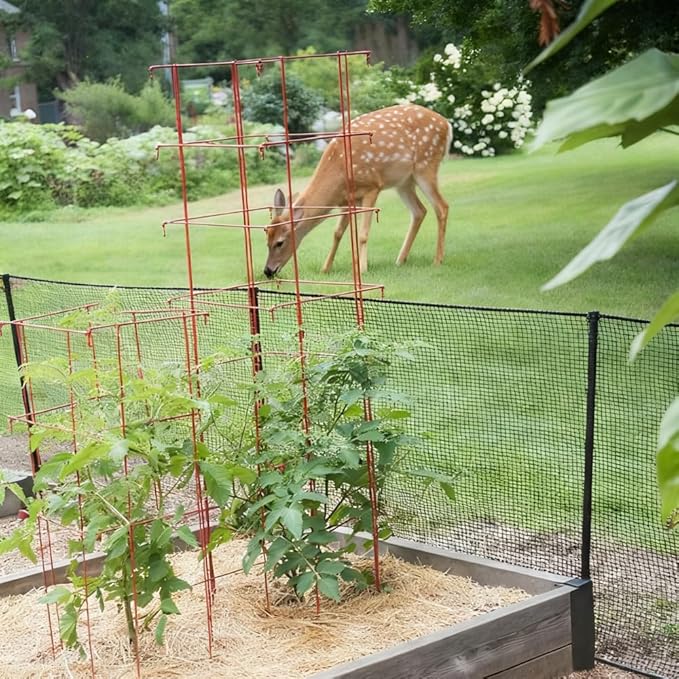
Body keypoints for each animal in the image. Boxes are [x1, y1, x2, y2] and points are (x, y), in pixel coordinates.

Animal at [263, 103, 452, 278]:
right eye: (267, 238)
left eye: (280, 242)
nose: (268, 271)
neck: (339, 171)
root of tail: (447, 124)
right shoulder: (347, 200)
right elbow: (337, 233)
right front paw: (326, 268)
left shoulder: (372, 186)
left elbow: (362, 233)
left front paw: (362, 268)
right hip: (404, 181)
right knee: (419, 211)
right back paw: (400, 260)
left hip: (426, 165)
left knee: (442, 207)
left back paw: (437, 260)